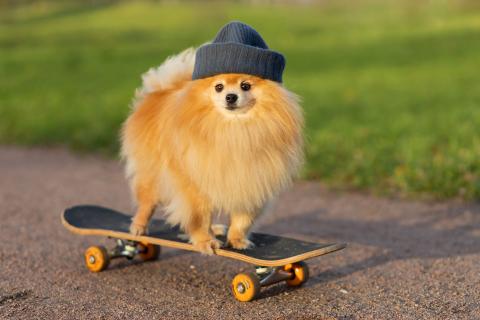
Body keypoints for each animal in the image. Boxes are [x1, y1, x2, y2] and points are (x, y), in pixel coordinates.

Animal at [122, 21, 306, 255]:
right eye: (219, 87)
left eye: (245, 85)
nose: (231, 96)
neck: (234, 129)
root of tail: (159, 92)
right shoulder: (194, 184)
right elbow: (199, 217)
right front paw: (204, 241)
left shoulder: (251, 179)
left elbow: (242, 218)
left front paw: (237, 240)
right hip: (152, 174)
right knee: (147, 202)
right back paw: (138, 227)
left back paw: (216, 229)